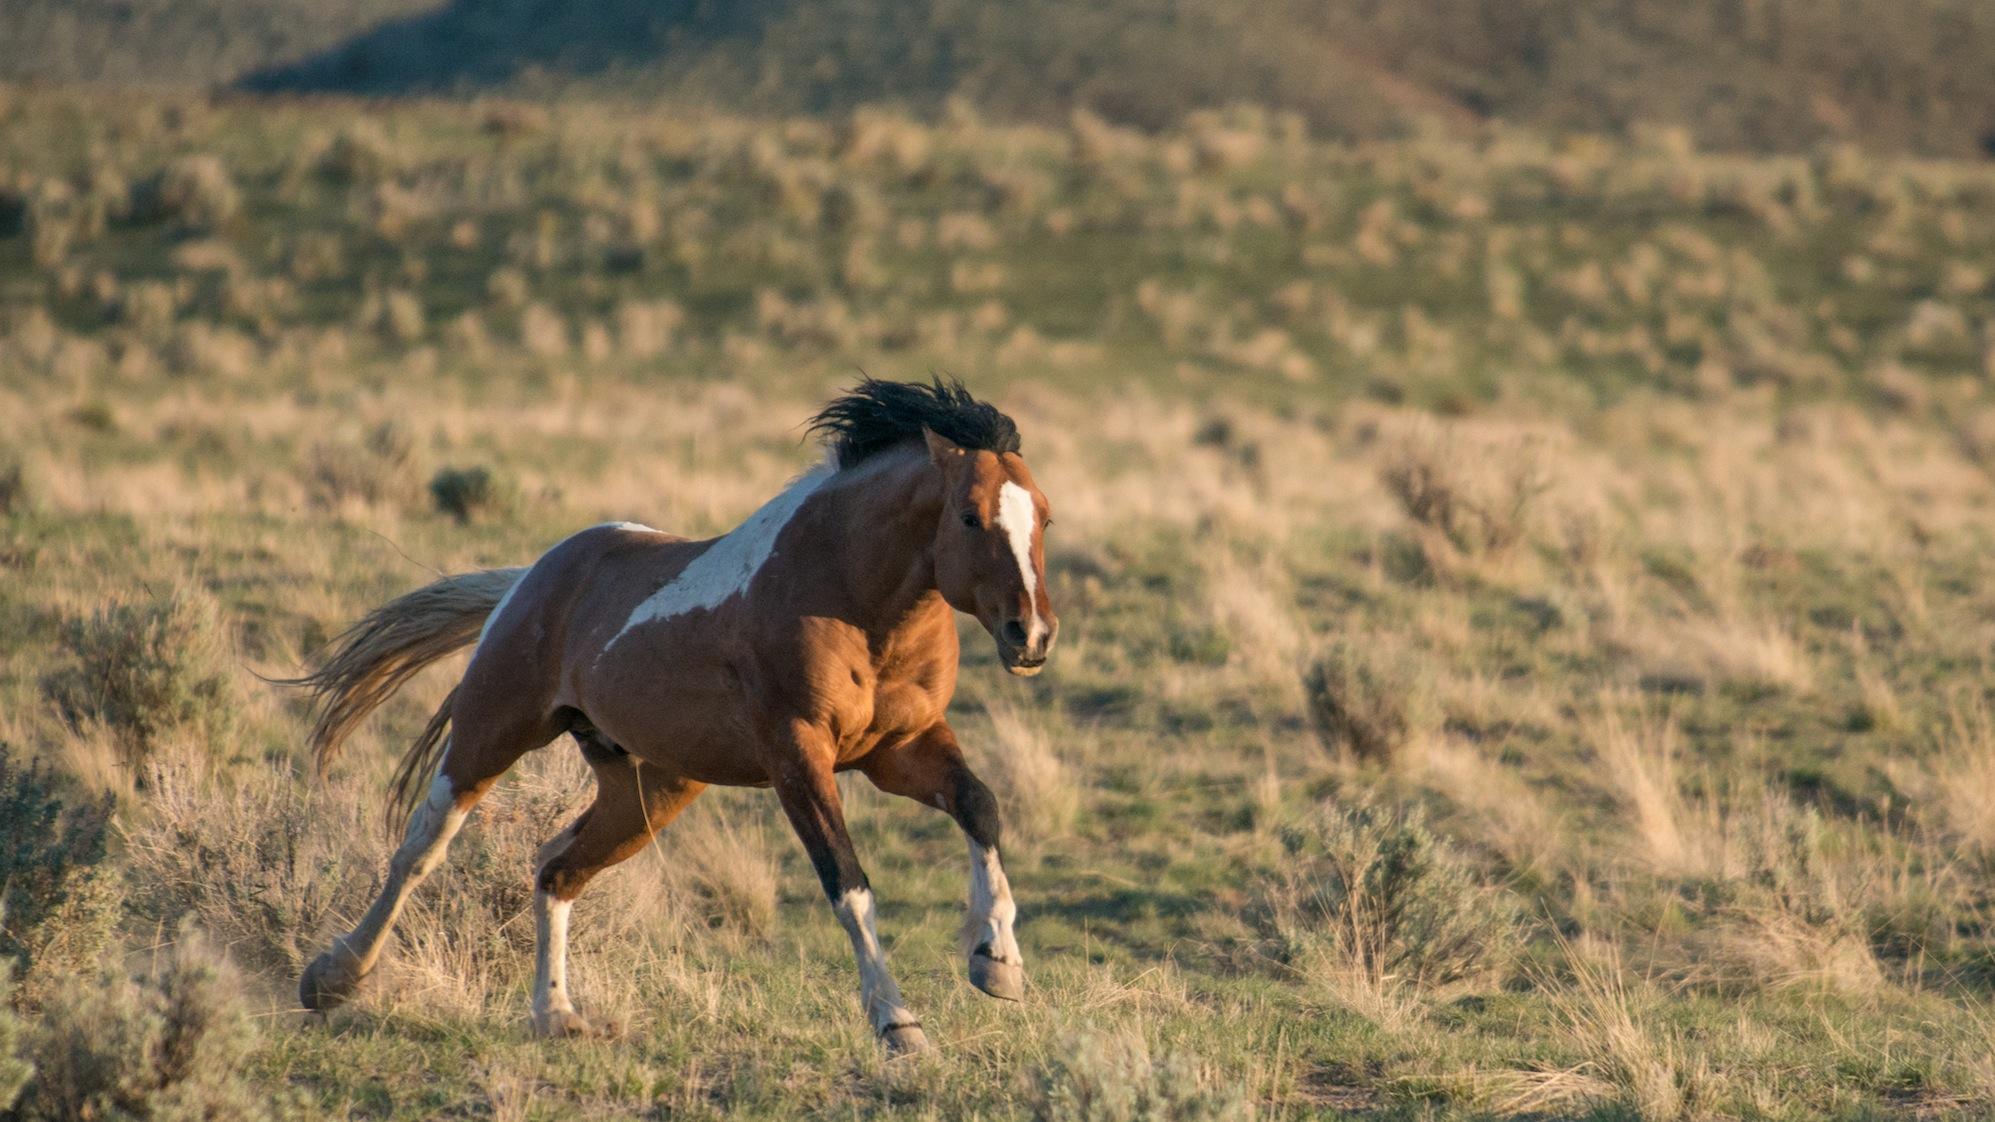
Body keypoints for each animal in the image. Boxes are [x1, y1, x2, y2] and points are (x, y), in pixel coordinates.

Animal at [286, 378, 1057, 1054]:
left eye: (1045, 518)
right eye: (969, 517)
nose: (1031, 635)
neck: (847, 595)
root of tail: (532, 576)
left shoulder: (900, 747)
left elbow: (980, 807)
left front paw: (998, 963)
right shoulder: (798, 757)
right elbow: (849, 884)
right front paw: (899, 1023)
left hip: (649, 788)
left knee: (556, 869)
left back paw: (556, 1015)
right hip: (492, 731)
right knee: (421, 847)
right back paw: (332, 978)